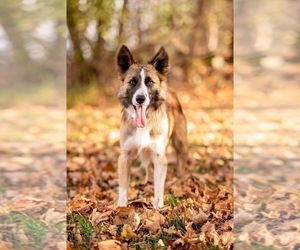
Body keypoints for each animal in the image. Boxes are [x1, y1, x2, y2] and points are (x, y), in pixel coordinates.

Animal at [115, 45, 188, 209]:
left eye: (149, 82)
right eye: (132, 81)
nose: (140, 99)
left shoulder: (160, 156)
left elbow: (159, 187)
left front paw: (158, 208)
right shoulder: (125, 156)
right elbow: (123, 186)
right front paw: (121, 207)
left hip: (180, 144)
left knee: (182, 163)